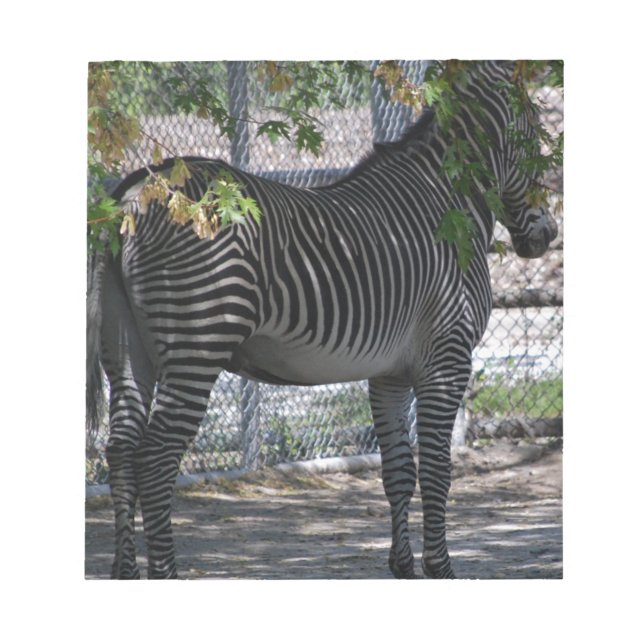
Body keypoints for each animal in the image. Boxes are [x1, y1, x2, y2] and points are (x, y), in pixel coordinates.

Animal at [86, 61, 558, 579]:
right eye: (537, 139)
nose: (548, 235)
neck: (446, 204)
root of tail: (134, 193)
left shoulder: (390, 373)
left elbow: (398, 471)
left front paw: (402, 567)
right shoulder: (447, 360)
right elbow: (437, 470)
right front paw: (441, 570)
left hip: (128, 350)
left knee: (122, 452)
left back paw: (125, 571)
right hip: (198, 343)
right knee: (155, 459)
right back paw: (165, 572)